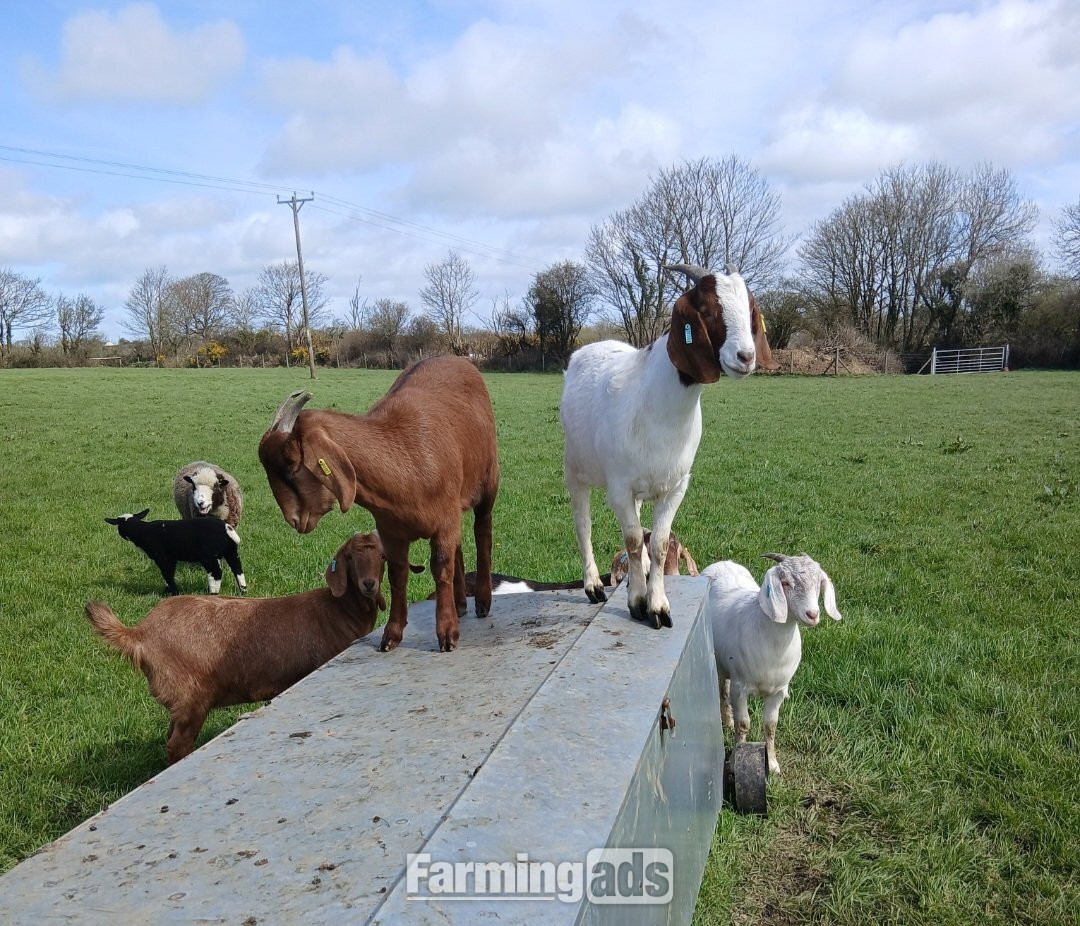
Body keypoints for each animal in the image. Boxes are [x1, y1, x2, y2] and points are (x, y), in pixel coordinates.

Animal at [86, 531, 390, 764]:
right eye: (349, 558)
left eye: (382, 557)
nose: (369, 585)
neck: (337, 610)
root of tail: (139, 633)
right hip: (191, 698)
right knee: (177, 745)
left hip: (180, 703)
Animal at [105, 509, 246, 596]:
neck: (142, 531)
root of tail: (226, 528)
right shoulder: (171, 558)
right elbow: (170, 574)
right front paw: (166, 591)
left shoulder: (162, 557)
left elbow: (167, 574)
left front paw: (174, 593)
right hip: (231, 551)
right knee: (238, 570)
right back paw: (243, 591)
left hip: (209, 556)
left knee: (216, 573)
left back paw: (213, 593)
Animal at [258, 355, 500, 653]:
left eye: (292, 465)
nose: (293, 519)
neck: (405, 458)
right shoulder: (391, 530)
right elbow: (397, 575)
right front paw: (391, 635)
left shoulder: (444, 520)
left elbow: (441, 568)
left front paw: (447, 634)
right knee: (459, 546)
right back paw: (462, 604)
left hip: (489, 482)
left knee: (482, 533)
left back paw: (482, 602)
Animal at [559, 264, 775, 628]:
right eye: (707, 311)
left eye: (750, 311)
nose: (746, 357)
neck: (657, 407)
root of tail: (590, 347)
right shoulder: (619, 487)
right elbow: (632, 540)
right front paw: (636, 602)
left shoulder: (676, 486)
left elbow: (659, 544)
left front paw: (657, 604)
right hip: (575, 468)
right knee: (582, 525)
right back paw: (593, 585)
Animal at [703, 553, 841, 775]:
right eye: (785, 583)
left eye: (819, 583)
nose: (812, 614)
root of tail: (723, 562)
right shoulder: (740, 688)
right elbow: (743, 724)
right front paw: (734, 762)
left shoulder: (778, 692)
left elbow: (770, 726)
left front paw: (774, 765)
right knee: (722, 689)